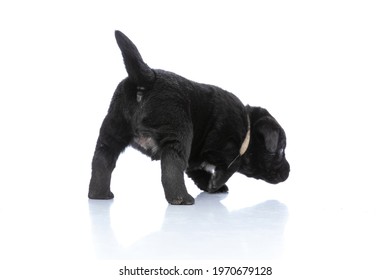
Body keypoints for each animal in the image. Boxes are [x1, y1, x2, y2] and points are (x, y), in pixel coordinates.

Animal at [88, 31, 290, 206]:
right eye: (280, 151)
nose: (289, 171)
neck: (246, 126)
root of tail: (148, 79)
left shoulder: (197, 157)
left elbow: (198, 172)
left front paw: (212, 187)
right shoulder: (221, 144)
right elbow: (233, 163)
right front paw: (217, 182)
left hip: (113, 128)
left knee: (102, 159)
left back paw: (99, 194)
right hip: (179, 132)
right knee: (171, 165)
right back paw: (182, 199)